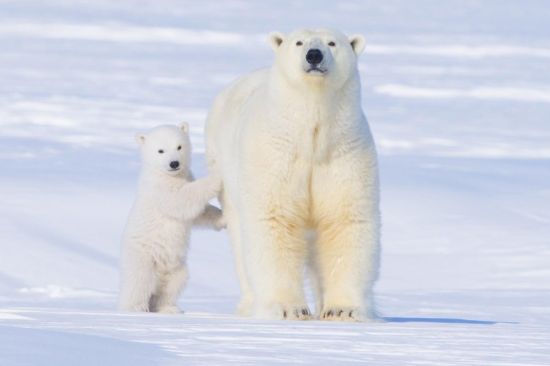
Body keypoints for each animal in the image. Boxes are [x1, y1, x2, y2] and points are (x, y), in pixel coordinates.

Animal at [205, 27, 382, 320]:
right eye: (299, 42)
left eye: (332, 43)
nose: (314, 55)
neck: (310, 136)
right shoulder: (274, 154)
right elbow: (274, 219)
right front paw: (289, 309)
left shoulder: (344, 153)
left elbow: (344, 220)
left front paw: (342, 310)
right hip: (224, 169)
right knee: (241, 240)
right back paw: (249, 305)